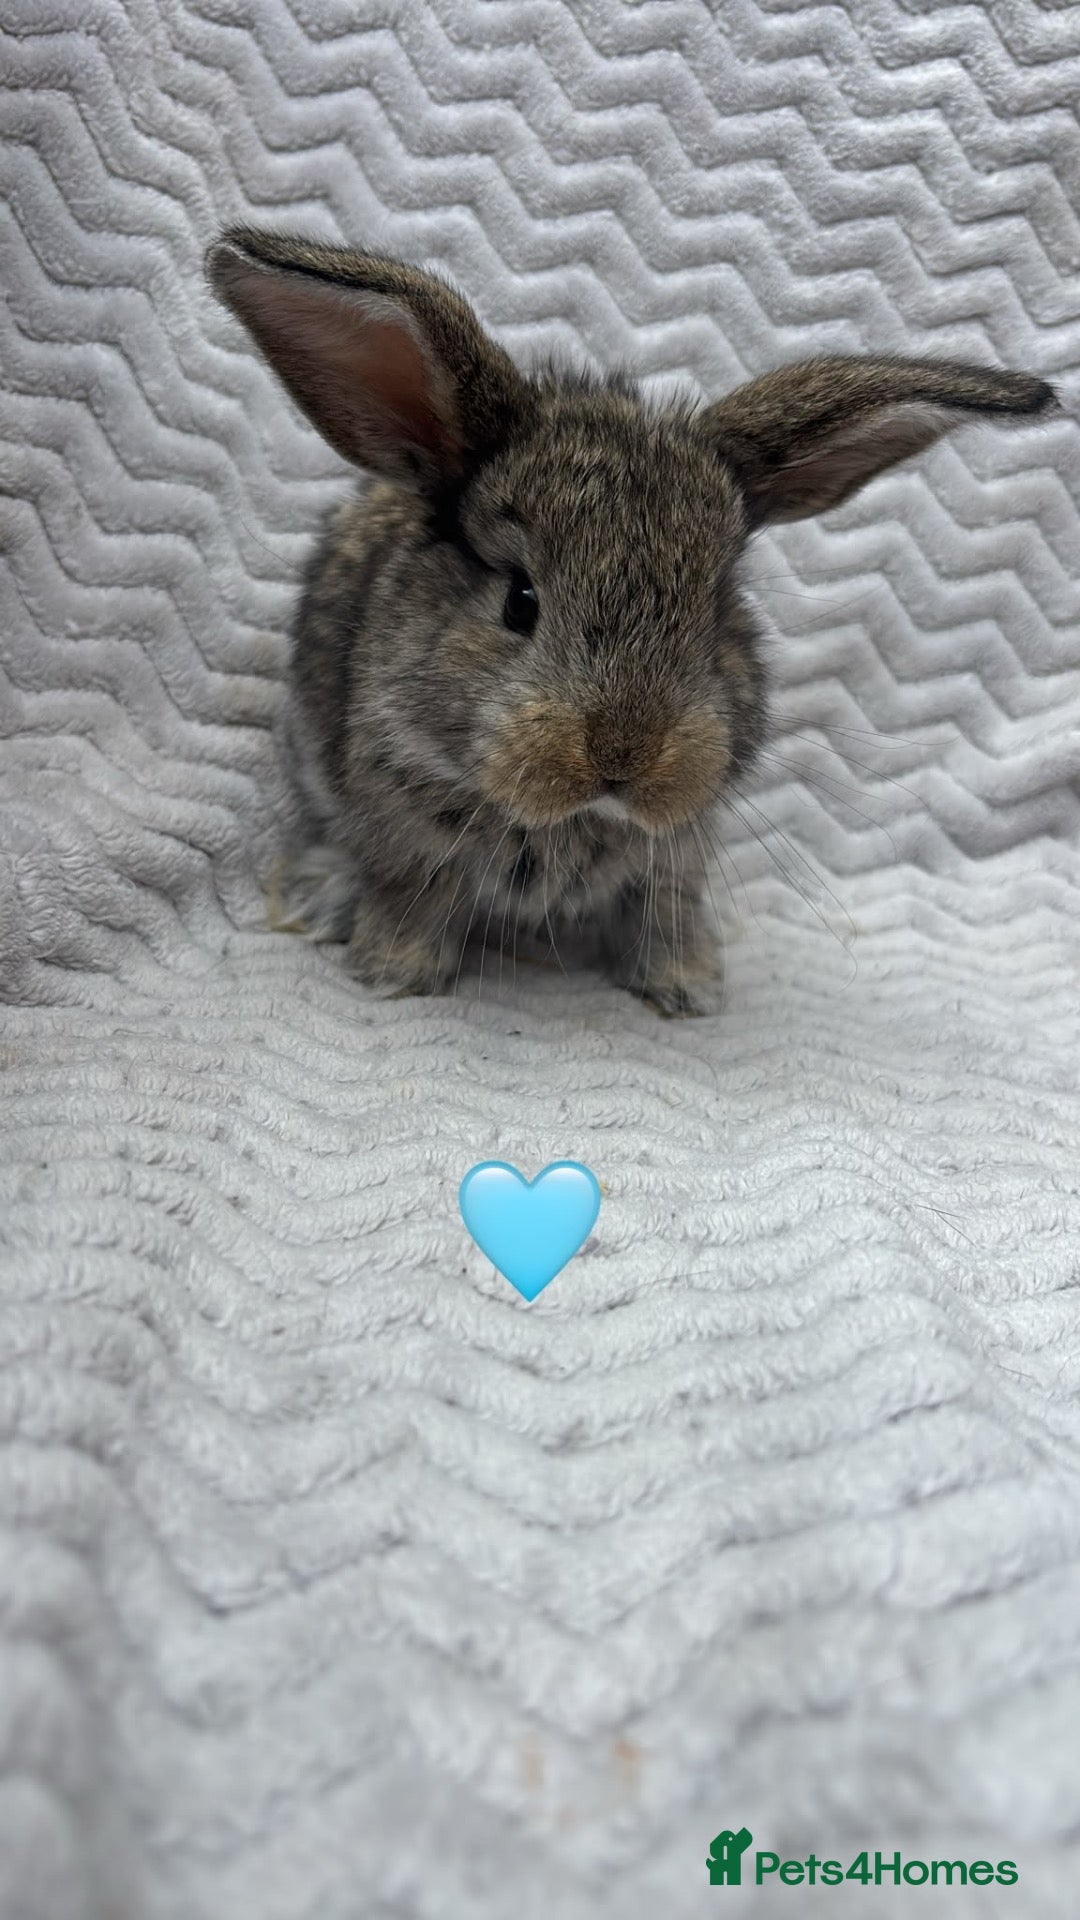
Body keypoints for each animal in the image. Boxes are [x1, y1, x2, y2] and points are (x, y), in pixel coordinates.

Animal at [206, 228, 1056, 1015]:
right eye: (520, 601)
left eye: (715, 613)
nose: (625, 753)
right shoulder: (404, 834)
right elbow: (411, 895)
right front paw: (394, 973)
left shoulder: (679, 852)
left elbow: (663, 912)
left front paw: (687, 990)